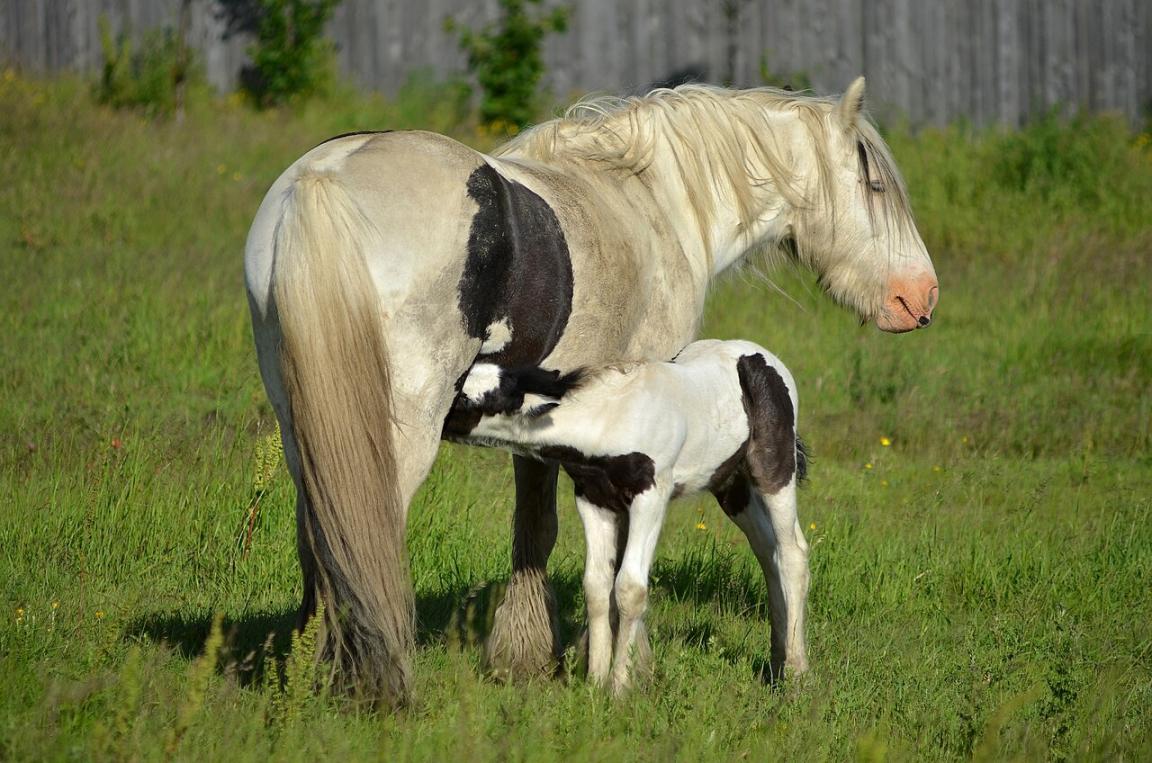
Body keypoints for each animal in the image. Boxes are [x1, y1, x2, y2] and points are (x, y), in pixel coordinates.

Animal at [451, 338, 809, 694]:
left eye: (466, 396)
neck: (611, 418)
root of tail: (760, 354)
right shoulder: (593, 499)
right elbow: (596, 585)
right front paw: (595, 682)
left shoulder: (651, 495)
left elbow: (629, 588)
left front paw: (619, 688)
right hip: (731, 485)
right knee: (768, 551)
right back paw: (777, 663)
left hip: (774, 470)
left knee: (793, 553)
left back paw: (796, 673)